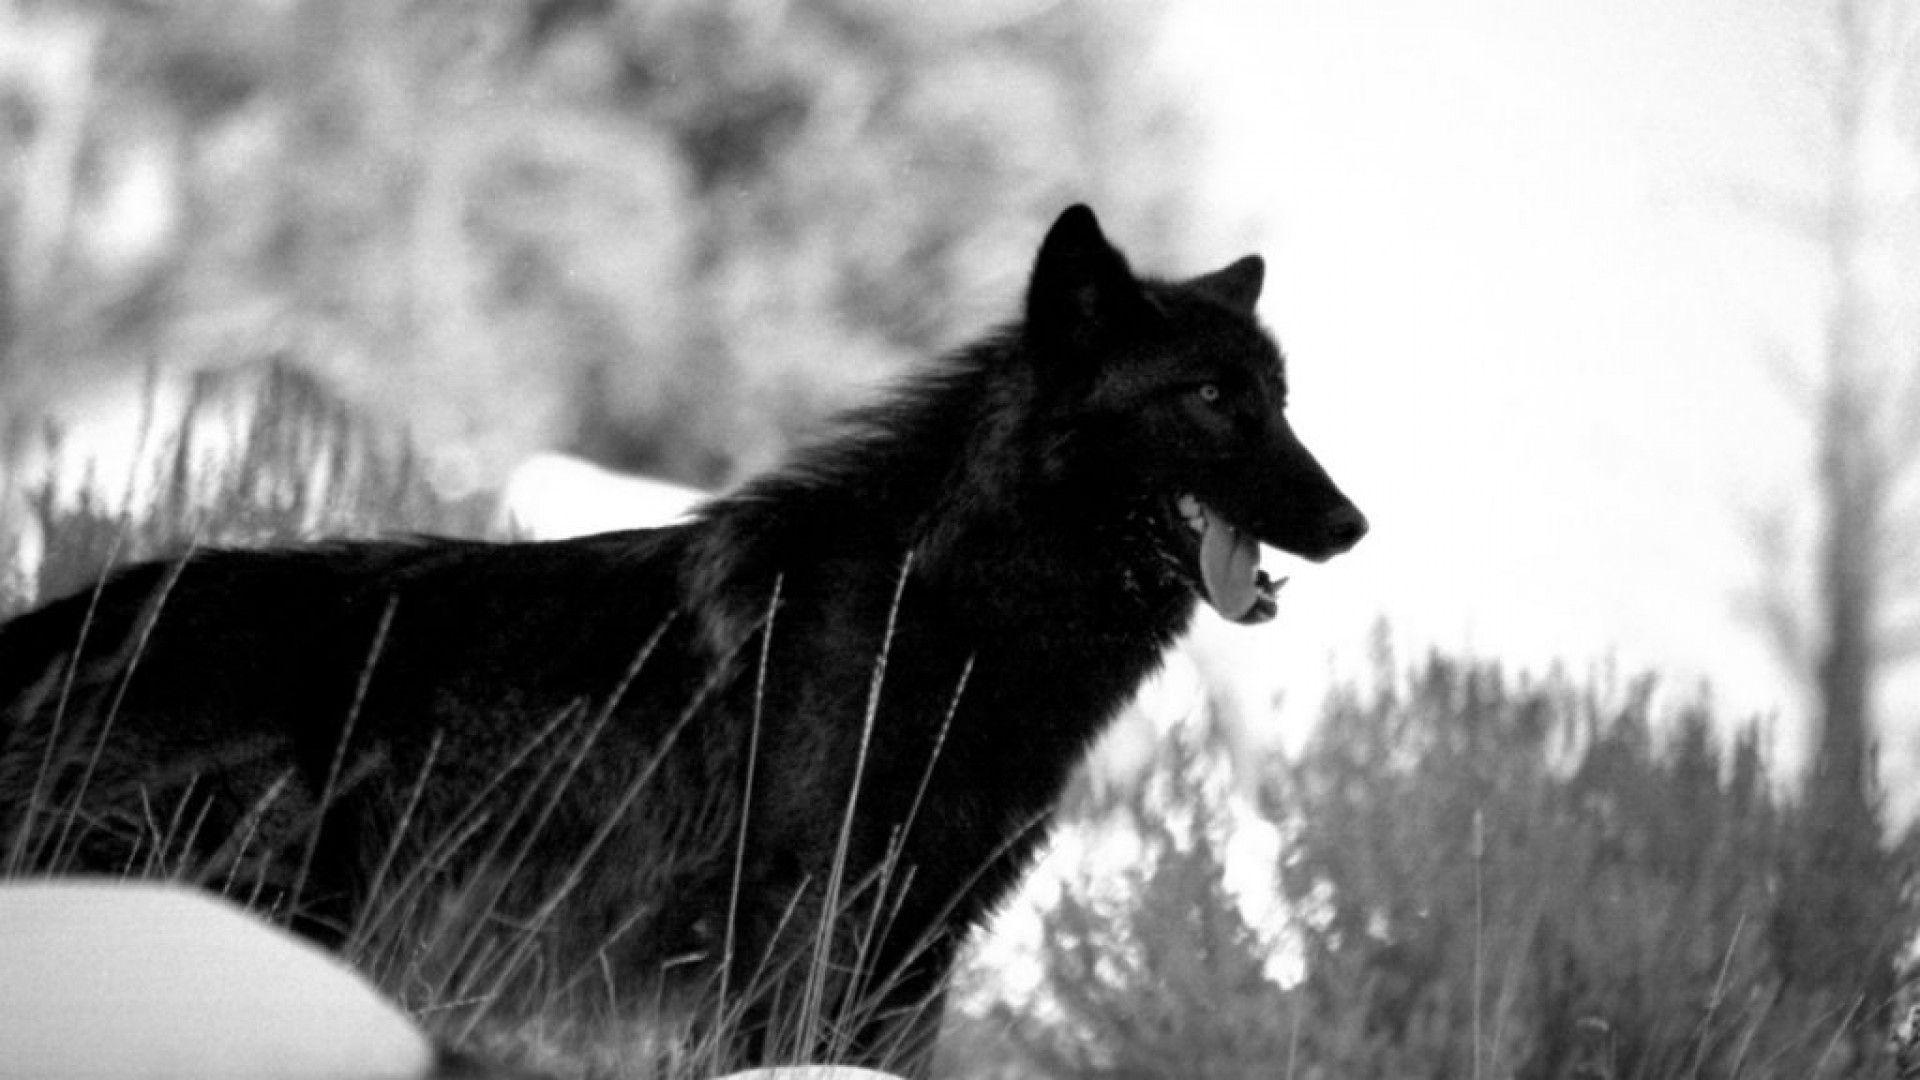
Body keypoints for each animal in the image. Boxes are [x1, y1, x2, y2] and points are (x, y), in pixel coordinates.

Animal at [0, 205, 1364, 1070]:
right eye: (1210, 397)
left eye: (1283, 402)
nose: (1354, 525)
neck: (946, 609)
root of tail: (68, 618)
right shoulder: (804, 930)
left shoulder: (916, 946)